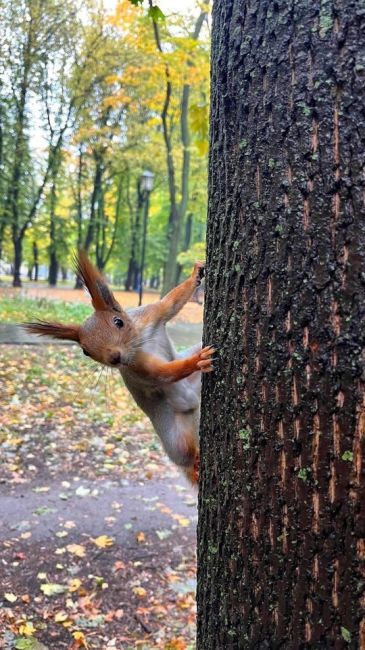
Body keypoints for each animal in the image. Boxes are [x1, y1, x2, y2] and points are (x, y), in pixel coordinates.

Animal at [24, 251, 215, 484]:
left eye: (119, 322)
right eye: (85, 351)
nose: (114, 358)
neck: (139, 342)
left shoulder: (151, 315)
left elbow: (170, 302)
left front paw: (196, 273)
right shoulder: (137, 367)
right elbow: (162, 373)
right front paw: (197, 360)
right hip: (177, 441)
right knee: (186, 455)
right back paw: (194, 464)